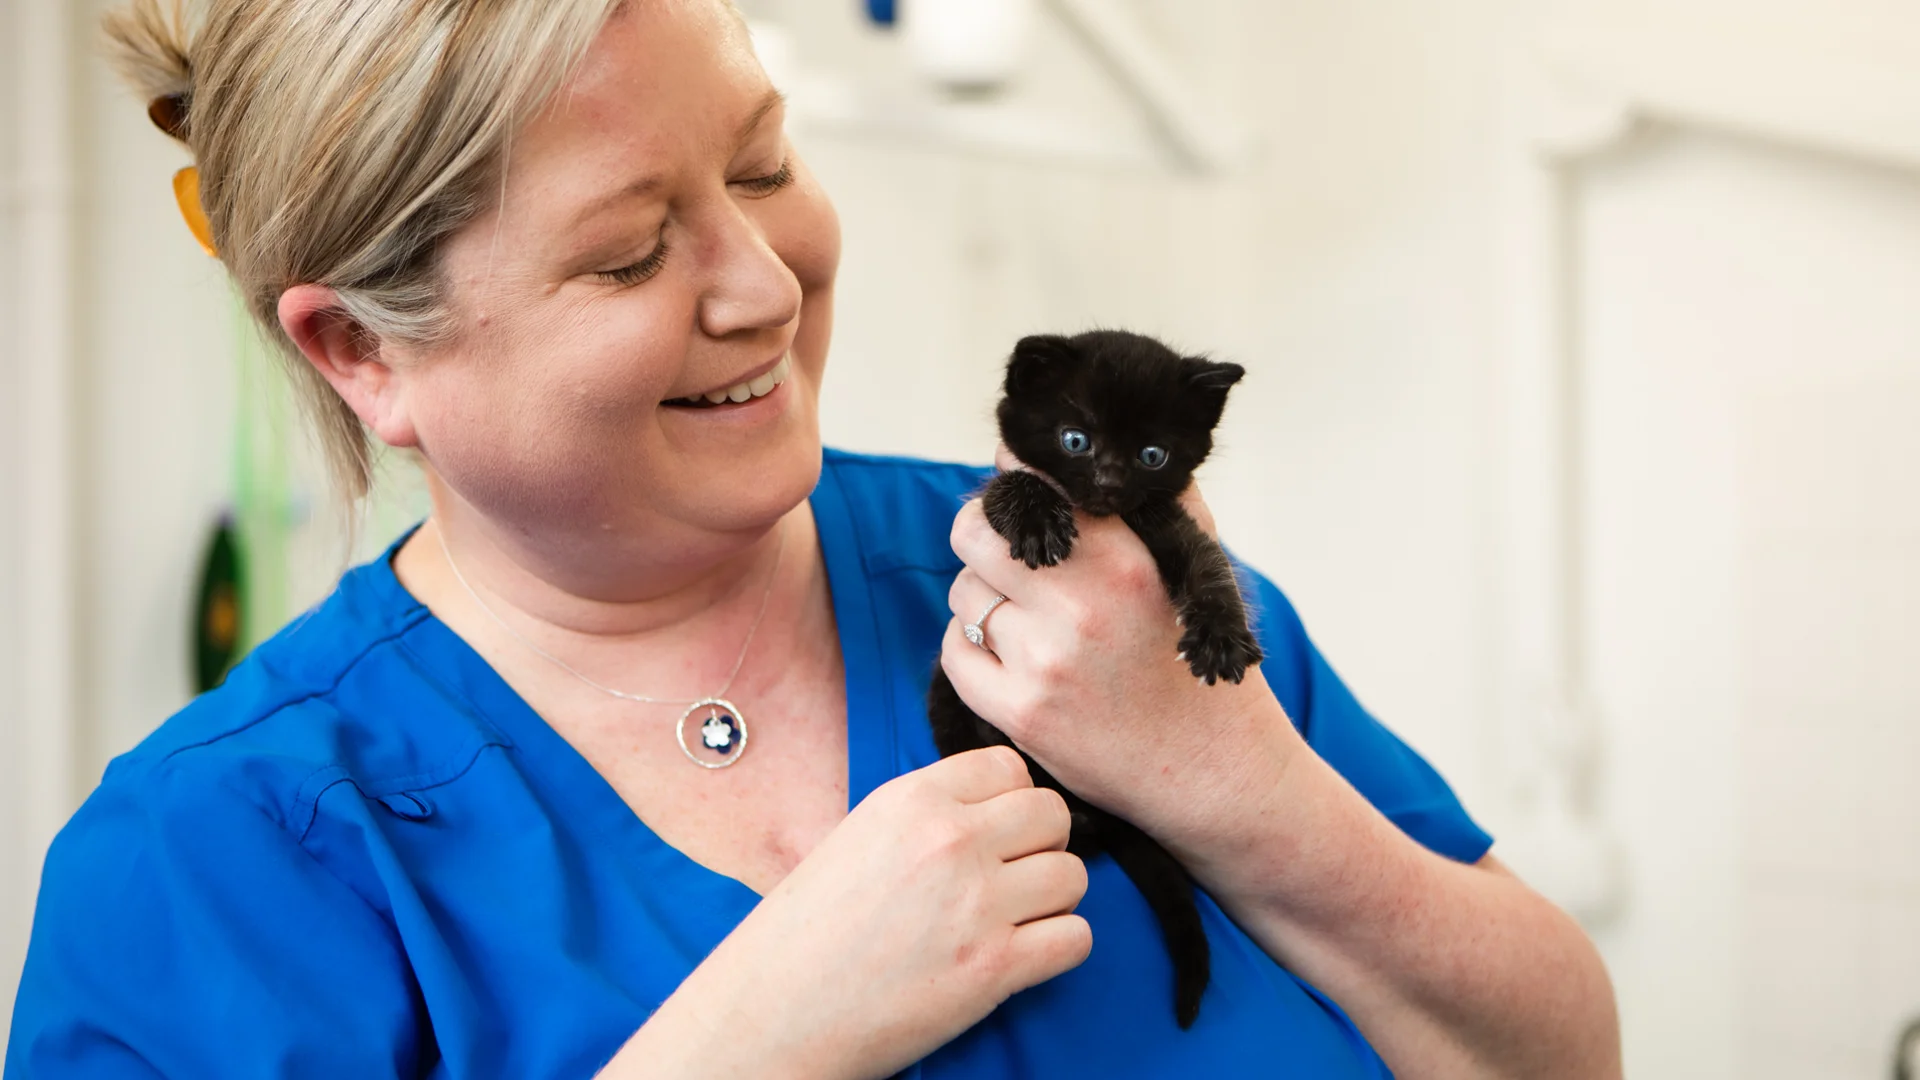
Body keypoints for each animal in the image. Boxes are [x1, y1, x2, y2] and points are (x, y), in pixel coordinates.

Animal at [929, 328, 1259, 1022]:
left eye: (1152, 454)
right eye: (1075, 439)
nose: (1109, 481)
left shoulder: (1169, 523)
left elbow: (1209, 563)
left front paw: (1221, 634)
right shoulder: (989, 496)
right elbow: (1006, 489)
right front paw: (1036, 519)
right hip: (946, 694)